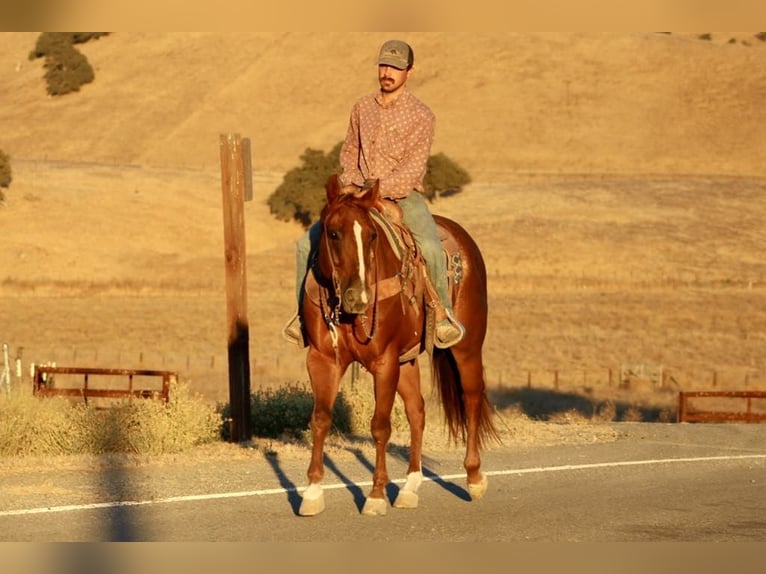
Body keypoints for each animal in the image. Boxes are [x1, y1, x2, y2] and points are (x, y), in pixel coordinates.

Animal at [300, 174, 498, 516]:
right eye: (333, 233)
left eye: (372, 236)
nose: (358, 297)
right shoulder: (323, 359)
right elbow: (321, 418)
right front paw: (312, 492)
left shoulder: (385, 362)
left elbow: (380, 425)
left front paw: (376, 495)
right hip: (407, 361)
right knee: (417, 410)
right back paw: (409, 487)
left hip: (467, 348)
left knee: (471, 398)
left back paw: (473, 478)